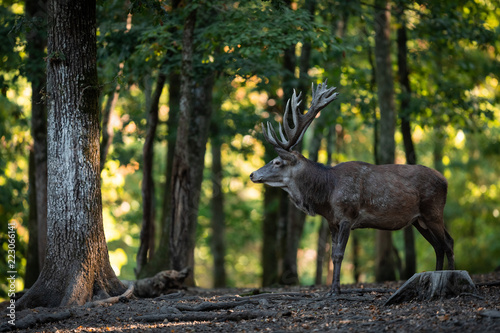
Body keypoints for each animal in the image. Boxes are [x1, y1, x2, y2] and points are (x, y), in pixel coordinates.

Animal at [248, 80, 456, 294]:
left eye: (277, 162)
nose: (252, 174)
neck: (326, 195)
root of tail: (445, 181)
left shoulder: (348, 215)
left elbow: (339, 254)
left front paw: (335, 290)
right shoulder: (332, 221)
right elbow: (332, 255)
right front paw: (333, 289)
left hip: (433, 210)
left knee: (448, 242)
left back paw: (450, 280)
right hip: (418, 219)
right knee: (438, 246)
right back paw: (436, 275)